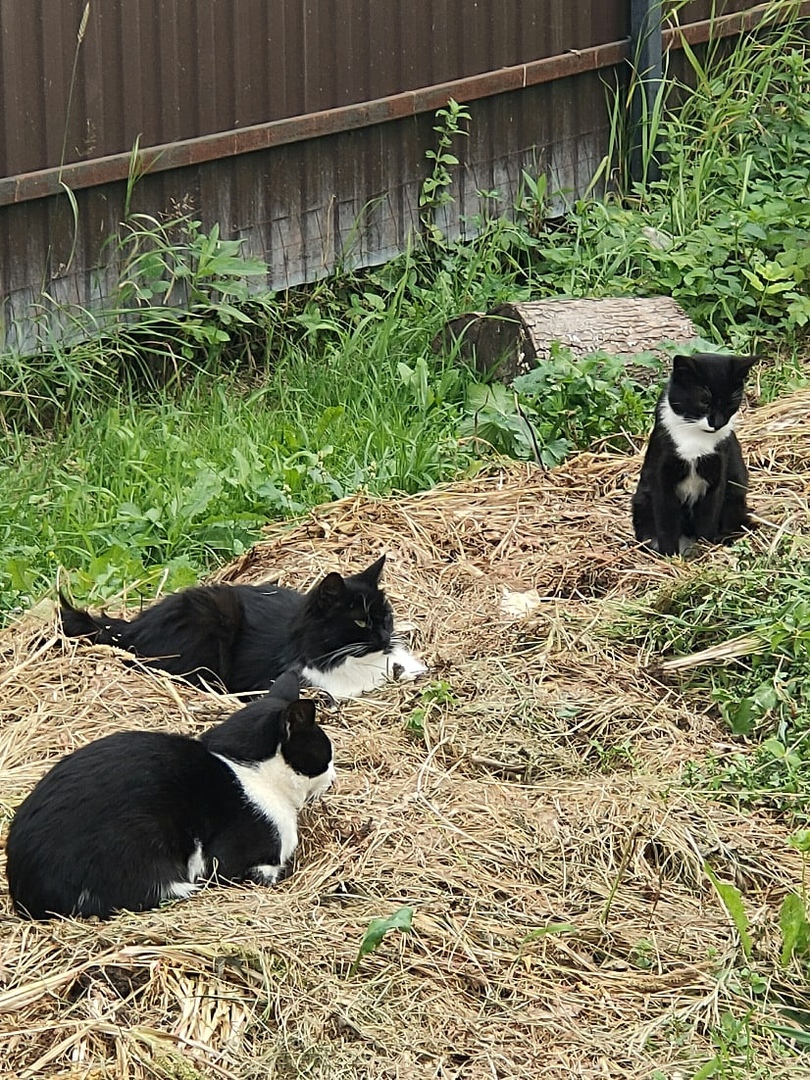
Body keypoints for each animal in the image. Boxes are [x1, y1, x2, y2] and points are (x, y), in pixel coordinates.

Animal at [6, 669, 336, 915]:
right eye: (326, 755)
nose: (333, 777)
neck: (242, 767)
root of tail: (25, 890)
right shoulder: (233, 860)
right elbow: (265, 869)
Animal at [635, 352, 760, 557]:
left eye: (731, 403)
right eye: (704, 401)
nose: (717, 423)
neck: (695, 437)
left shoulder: (717, 472)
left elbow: (708, 517)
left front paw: (705, 549)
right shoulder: (662, 476)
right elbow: (666, 520)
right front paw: (669, 555)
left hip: (735, 494)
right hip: (641, 500)